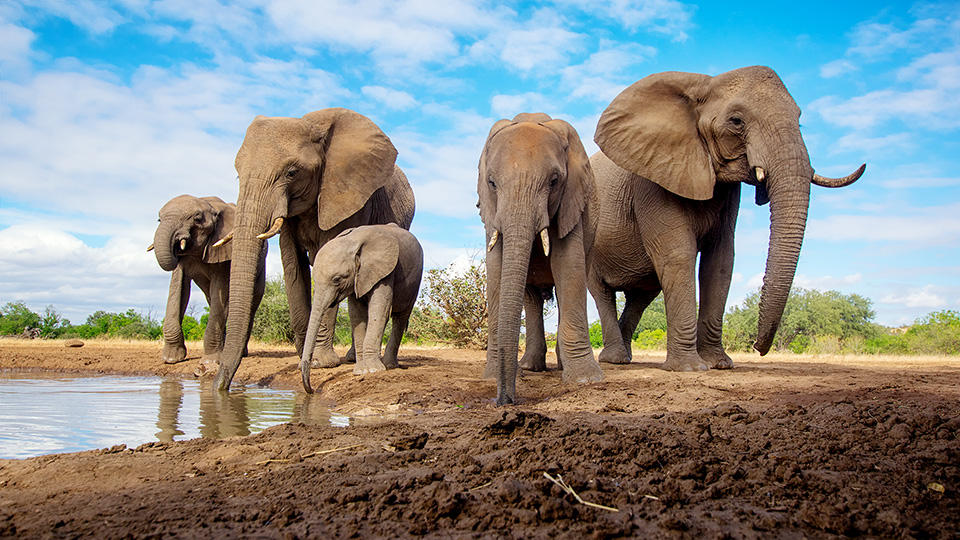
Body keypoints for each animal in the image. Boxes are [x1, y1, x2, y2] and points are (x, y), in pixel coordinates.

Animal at [148, 194, 266, 368]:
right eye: (159, 220)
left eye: (197, 220)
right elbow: (178, 289)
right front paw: (171, 359)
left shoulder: (223, 250)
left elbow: (220, 292)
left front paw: (210, 361)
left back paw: (241, 354)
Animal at [298, 224, 422, 392]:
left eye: (337, 279)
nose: (311, 390)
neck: (352, 241)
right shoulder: (357, 279)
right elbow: (356, 315)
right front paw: (361, 371)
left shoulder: (385, 271)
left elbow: (379, 309)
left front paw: (372, 370)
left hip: (414, 281)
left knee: (400, 318)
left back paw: (389, 365)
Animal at [478, 112, 604, 404]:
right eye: (491, 183)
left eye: (554, 181)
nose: (505, 401)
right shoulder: (491, 211)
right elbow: (496, 269)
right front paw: (492, 376)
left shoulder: (571, 201)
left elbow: (567, 264)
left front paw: (585, 379)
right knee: (531, 298)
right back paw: (530, 367)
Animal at [588, 65, 868, 372]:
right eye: (736, 121)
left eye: (799, 120)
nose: (757, 347)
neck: (703, 86)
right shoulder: (652, 181)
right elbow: (678, 254)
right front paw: (690, 368)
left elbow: (720, 260)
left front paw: (719, 364)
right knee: (602, 291)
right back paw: (614, 359)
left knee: (642, 295)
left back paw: (624, 358)